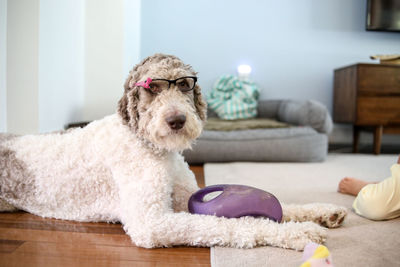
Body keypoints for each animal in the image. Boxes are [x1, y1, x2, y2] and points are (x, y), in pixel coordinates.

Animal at [0, 54, 346, 251]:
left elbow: (286, 205)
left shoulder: (183, 198)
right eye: (151, 87)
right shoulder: (152, 222)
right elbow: (230, 224)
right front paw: (300, 232)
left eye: (183, 84)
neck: (151, 147)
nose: (177, 120)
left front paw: (322, 212)